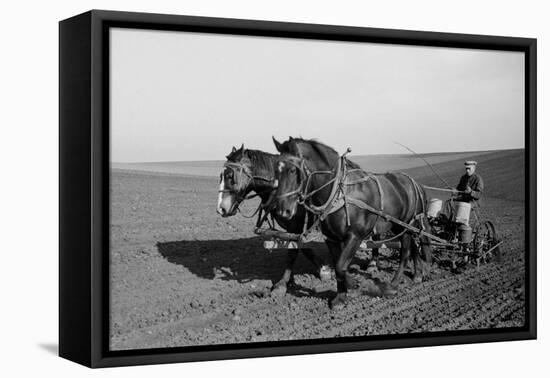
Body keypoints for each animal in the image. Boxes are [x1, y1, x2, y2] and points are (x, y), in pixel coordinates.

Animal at [217, 143, 330, 294]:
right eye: (221, 176)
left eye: (230, 176)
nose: (221, 209)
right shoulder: (292, 228)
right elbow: (302, 247)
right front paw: (321, 268)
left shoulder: (296, 225)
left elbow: (293, 252)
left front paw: (282, 284)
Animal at [274, 137, 434, 308]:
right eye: (276, 171)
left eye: (292, 170)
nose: (282, 210)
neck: (339, 192)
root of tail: (415, 184)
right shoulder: (331, 238)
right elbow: (338, 265)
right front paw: (342, 295)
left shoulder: (355, 236)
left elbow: (340, 266)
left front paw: (350, 288)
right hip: (401, 226)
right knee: (413, 247)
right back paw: (418, 275)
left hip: (407, 224)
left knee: (405, 252)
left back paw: (394, 284)